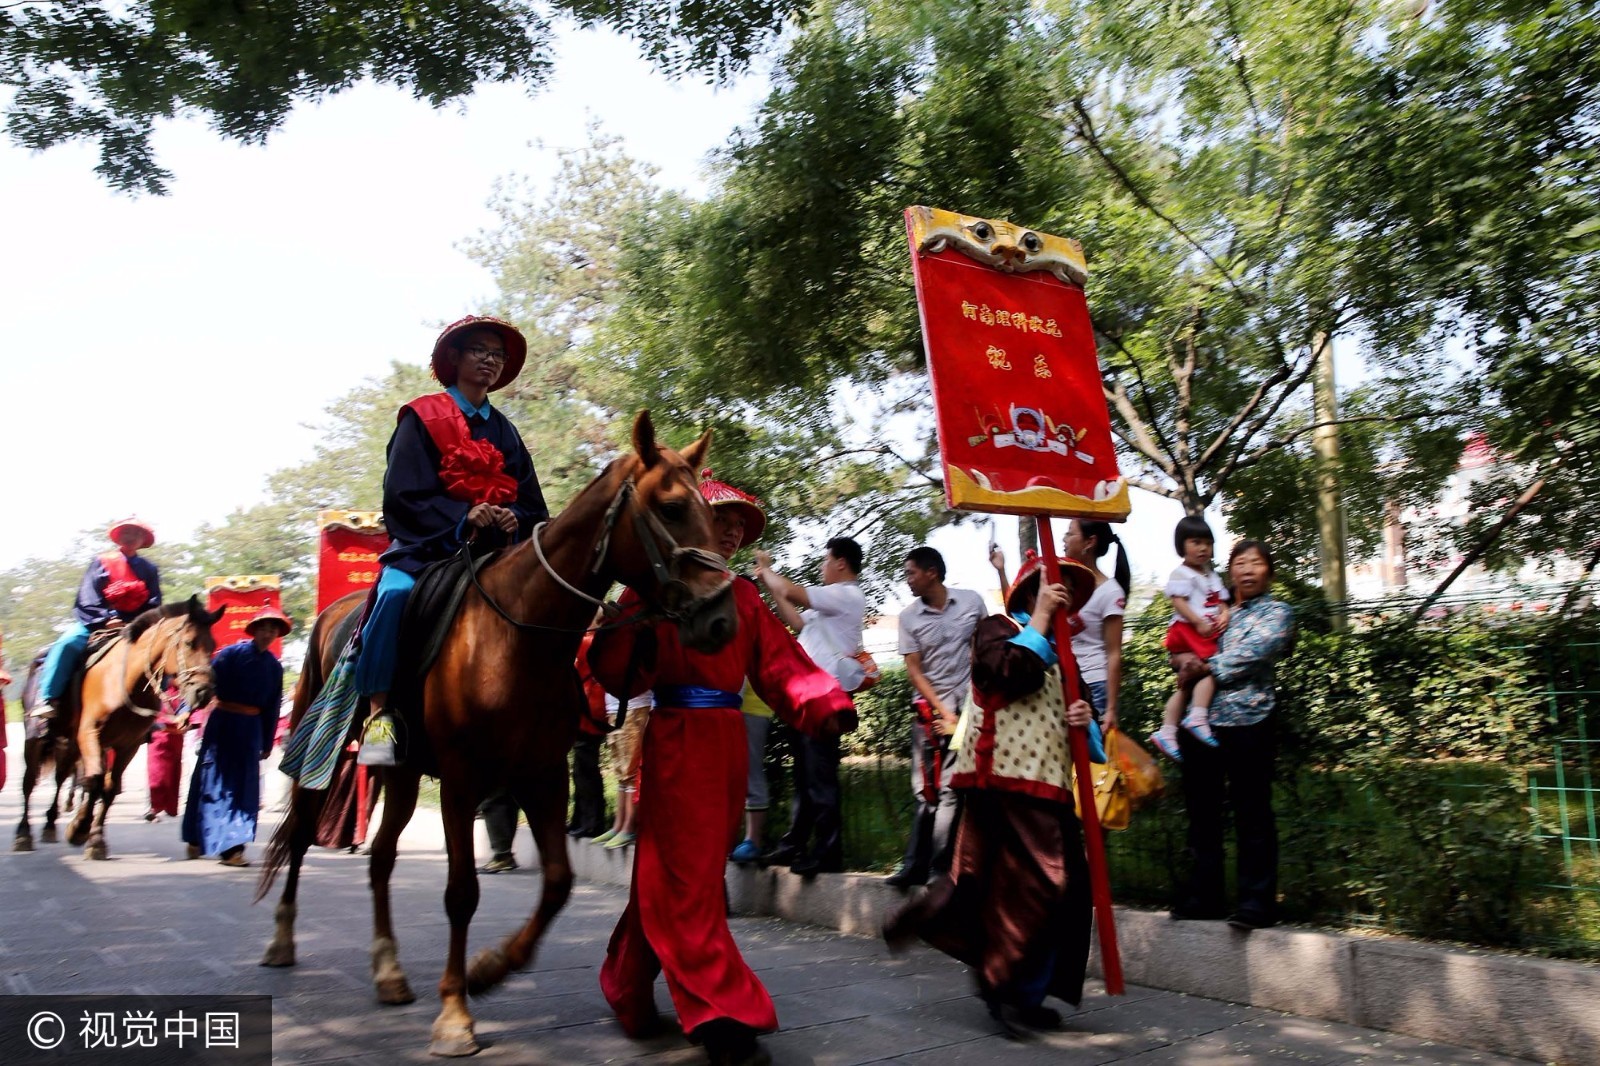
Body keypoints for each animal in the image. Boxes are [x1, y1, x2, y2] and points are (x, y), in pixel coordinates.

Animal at [12, 598, 220, 857]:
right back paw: (23, 833)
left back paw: (50, 823)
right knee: (29, 781)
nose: (204, 693)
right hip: (36, 737)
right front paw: (80, 828)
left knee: (61, 778)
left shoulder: (128, 745)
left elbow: (108, 787)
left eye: (213, 645)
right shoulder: (90, 734)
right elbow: (94, 780)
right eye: (189, 642)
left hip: (68, 743)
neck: (125, 681)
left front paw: (95, 839)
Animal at [260, 409, 736, 1049]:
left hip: (403, 774)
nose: (720, 620)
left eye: (708, 510)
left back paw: (389, 970)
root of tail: (335, 612)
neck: (518, 636)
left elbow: (558, 882)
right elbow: (462, 892)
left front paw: (488, 969)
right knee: (302, 837)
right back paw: (283, 940)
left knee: (381, 858)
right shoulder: (462, 780)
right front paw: (455, 1015)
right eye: (671, 506)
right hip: (323, 754)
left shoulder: (543, 775)